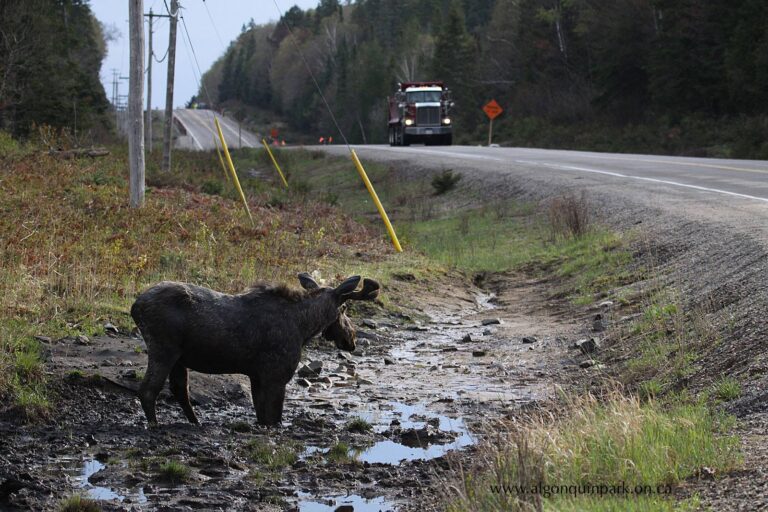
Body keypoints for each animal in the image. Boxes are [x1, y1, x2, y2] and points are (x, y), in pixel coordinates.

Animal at [134, 274, 382, 426]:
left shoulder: (256, 375)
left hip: (179, 358)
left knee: (179, 390)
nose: (351, 339)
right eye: (344, 308)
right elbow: (274, 418)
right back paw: (154, 425)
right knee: (147, 389)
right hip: (163, 349)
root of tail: (135, 306)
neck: (305, 326)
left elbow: (262, 416)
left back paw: (196, 422)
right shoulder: (276, 375)